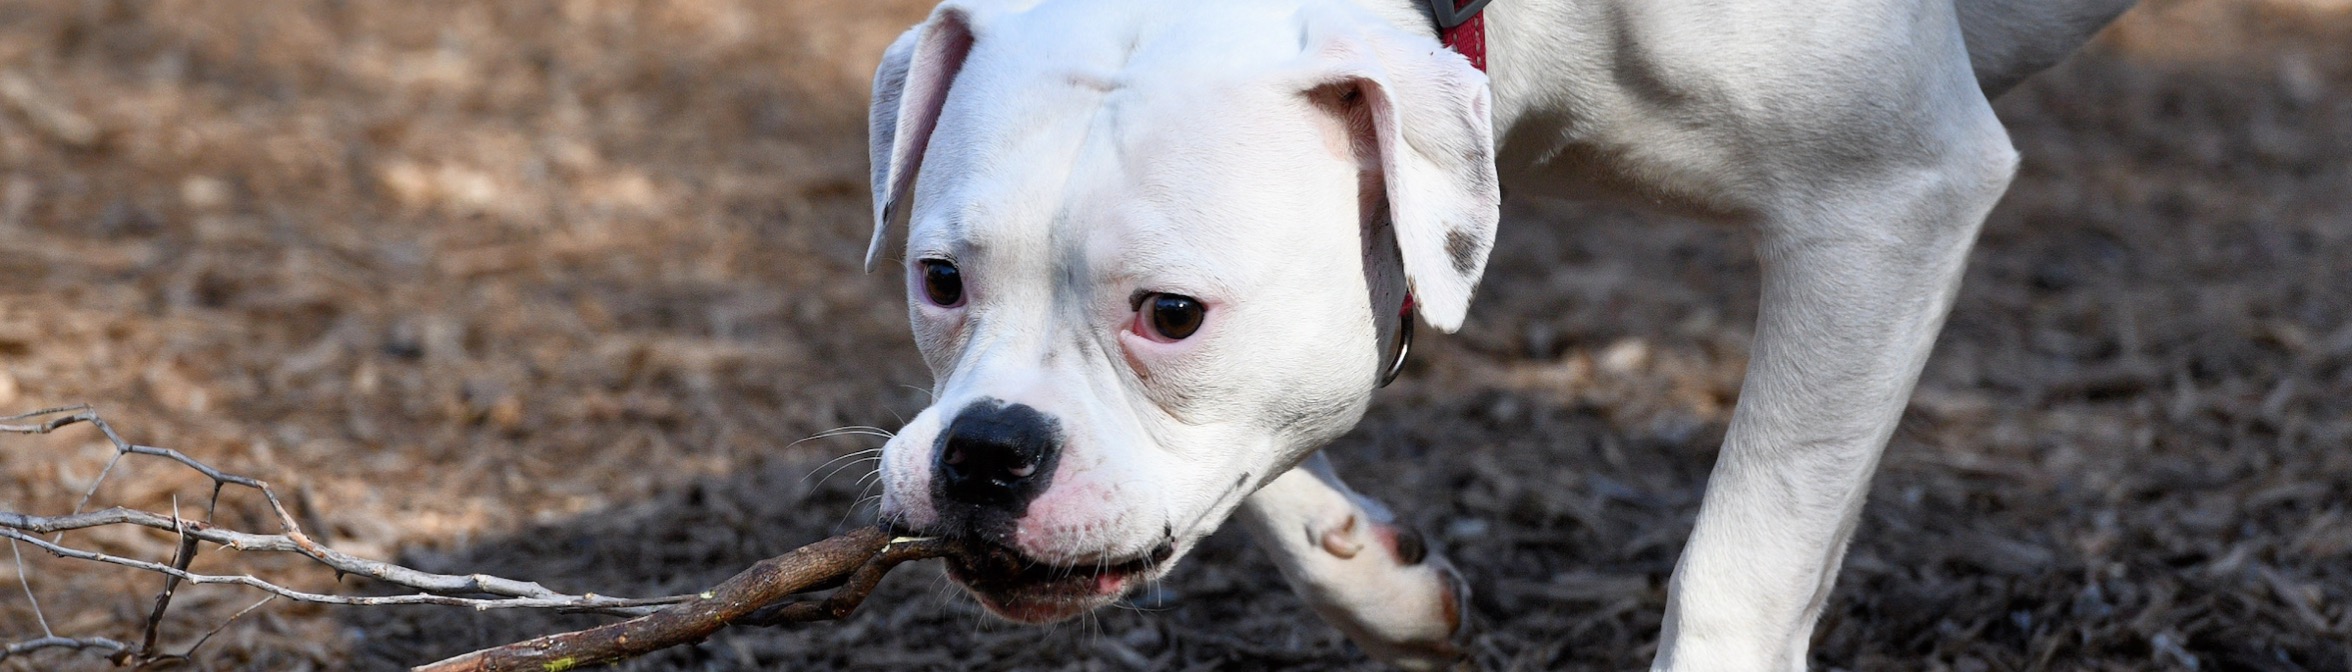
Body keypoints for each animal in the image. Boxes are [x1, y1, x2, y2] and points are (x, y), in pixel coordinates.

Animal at [860, 2, 2135, 667]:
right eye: (940, 282)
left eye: (1170, 316)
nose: (984, 453)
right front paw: (1368, 569)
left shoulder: (1890, 201)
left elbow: (1742, 561)